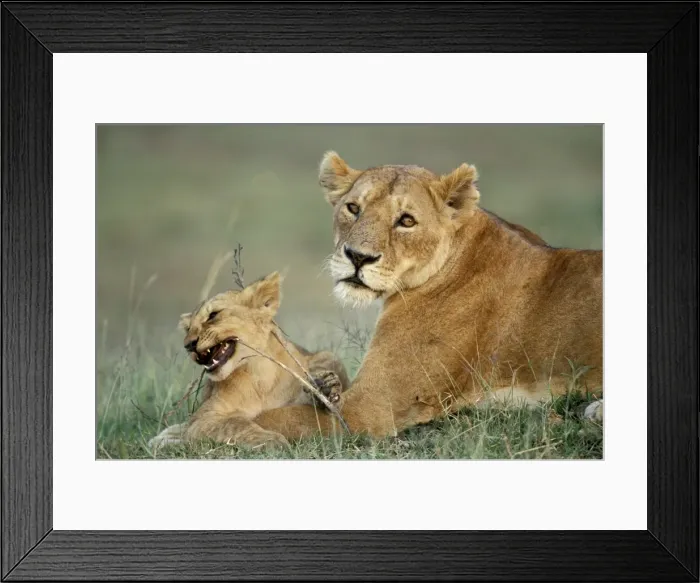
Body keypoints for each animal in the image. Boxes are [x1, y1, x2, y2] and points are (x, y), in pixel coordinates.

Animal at [148, 271, 350, 449]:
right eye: (188, 328)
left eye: (213, 315)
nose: (188, 345)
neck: (258, 373)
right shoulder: (203, 418)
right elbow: (235, 423)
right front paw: (273, 441)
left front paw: (326, 391)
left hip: (326, 355)